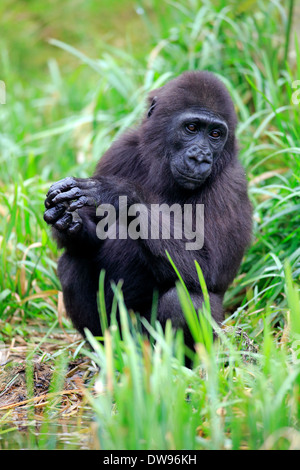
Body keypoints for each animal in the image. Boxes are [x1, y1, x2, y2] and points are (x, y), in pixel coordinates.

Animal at [43, 71, 252, 346]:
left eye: (215, 134)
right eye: (192, 128)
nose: (200, 157)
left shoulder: (232, 182)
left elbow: (210, 270)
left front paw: (119, 193)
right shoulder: (120, 150)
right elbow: (91, 238)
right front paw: (69, 222)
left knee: (185, 299)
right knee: (73, 262)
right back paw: (107, 349)